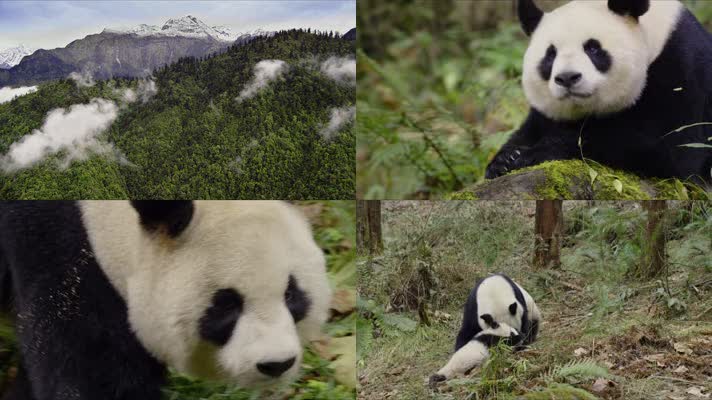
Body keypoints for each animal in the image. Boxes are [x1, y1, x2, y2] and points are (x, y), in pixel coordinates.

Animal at [486, 0, 712, 184]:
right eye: (550, 55)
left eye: (592, 48)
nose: (567, 77)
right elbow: (531, 128)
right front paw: (504, 159)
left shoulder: (680, 70)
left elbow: (669, 148)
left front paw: (533, 154)